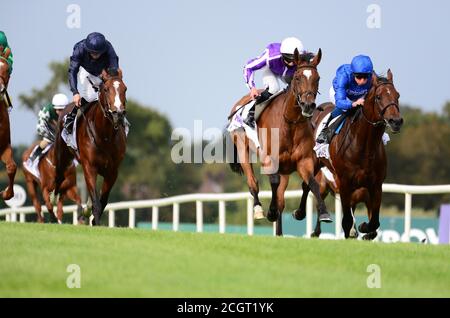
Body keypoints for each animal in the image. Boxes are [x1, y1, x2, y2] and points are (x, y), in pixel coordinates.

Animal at [53, 69, 126, 226]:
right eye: (106, 89)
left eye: (125, 89)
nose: (118, 113)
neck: (104, 136)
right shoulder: (89, 167)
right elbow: (96, 202)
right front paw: (95, 222)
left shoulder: (112, 171)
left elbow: (102, 201)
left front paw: (92, 218)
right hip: (62, 155)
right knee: (58, 175)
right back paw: (52, 200)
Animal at [227, 47, 332, 236]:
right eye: (297, 78)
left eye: (317, 78)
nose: (308, 106)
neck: (289, 123)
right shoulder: (270, 159)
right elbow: (273, 183)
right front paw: (270, 211)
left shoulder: (304, 160)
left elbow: (311, 183)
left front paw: (321, 213)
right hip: (242, 148)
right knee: (253, 182)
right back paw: (259, 209)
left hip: (286, 169)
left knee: (283, 198)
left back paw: (280, 232)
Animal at [298, 69, 402, 238]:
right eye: (379, 97)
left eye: (397, 95)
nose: (396, 121)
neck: (364, 147)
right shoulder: (345, 184)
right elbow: (346, 222)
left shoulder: (375, 186)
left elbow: (374, 223)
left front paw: (364, 228)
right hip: (315, 165)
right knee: (308, 184)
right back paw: (302, 214)